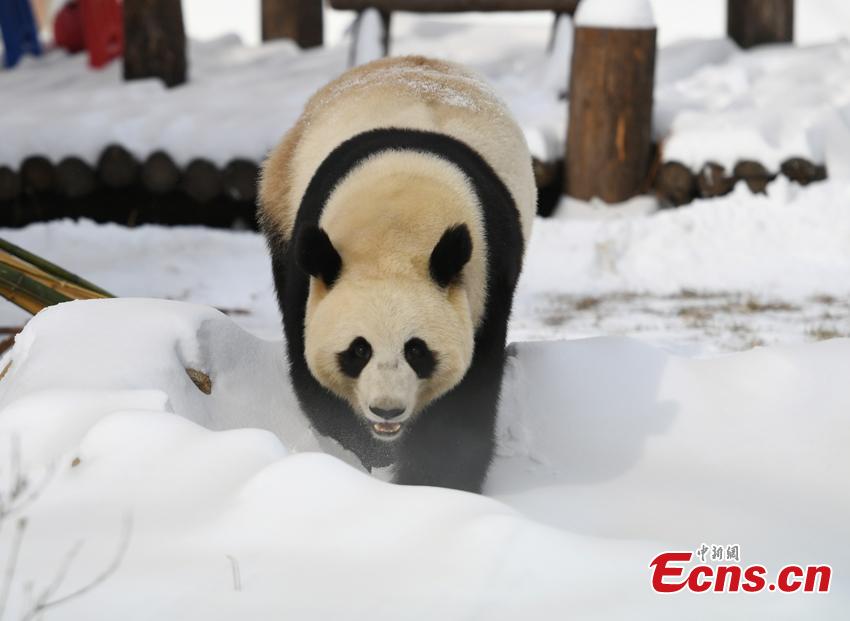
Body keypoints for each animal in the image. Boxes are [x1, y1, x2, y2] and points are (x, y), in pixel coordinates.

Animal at [262, 55, 532, 492]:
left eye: (417, 350)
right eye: (358, 350)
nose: (386, 410)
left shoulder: (488, 281)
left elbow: (463, 406)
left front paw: (434, 482)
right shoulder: (309, 267)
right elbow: (315, 379)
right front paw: (368, 458)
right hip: (281, 201)